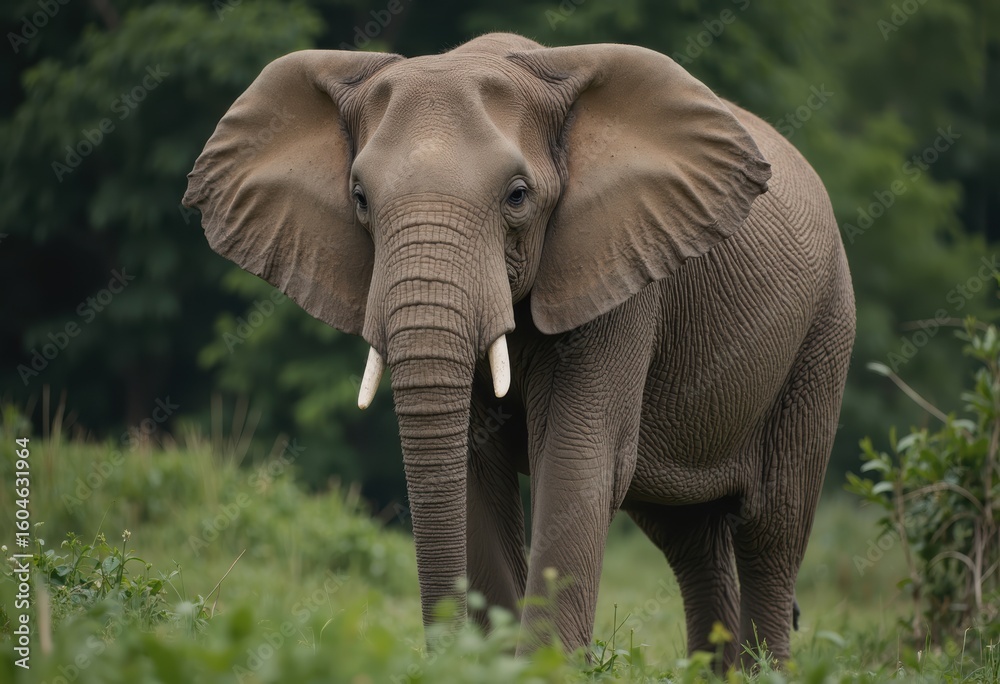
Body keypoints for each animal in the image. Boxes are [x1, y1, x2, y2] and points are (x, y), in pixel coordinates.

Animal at [182, 32, 855, 668]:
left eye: (517, 196)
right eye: (359, 199)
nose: (439, 652)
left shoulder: (623, 275)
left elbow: (579, 461)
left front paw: (539, 665)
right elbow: (475, 465)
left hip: (824, 335)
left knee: (771, 529)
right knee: (689, 536)